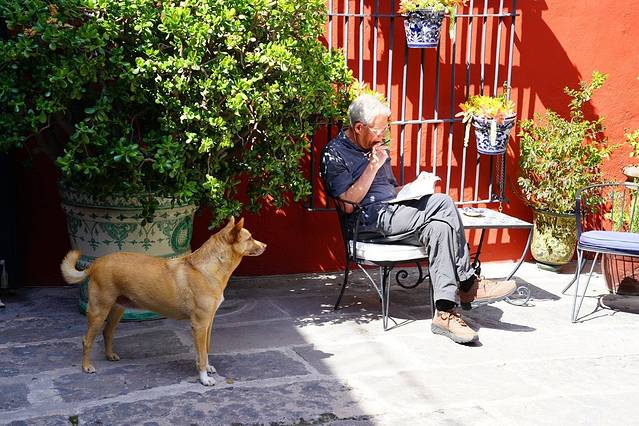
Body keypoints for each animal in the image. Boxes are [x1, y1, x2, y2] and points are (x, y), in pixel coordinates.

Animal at [60, 217, 266, 386]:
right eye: (249, 238)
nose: (265, 245)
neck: (209, 267)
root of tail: (95, 264)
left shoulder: (208, 322)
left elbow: (204, 350)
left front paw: (206, 368)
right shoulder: (199, 324)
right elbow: (201, 353)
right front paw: (204, 378)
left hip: (117, 309)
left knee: (107, 332)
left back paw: (110, 355)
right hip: (98, 310)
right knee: (87, 340)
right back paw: (86, 367)